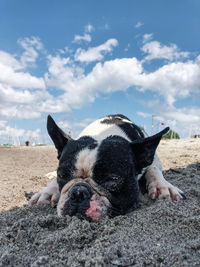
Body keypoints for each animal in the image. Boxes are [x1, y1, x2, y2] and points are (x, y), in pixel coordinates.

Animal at [28, 114, 184, 221]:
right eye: (62, 175)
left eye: (112, 179)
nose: (78, 193)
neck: (103, 133)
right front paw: (48, 191)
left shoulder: (153, 159)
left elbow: (154, 168)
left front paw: (163, 186)